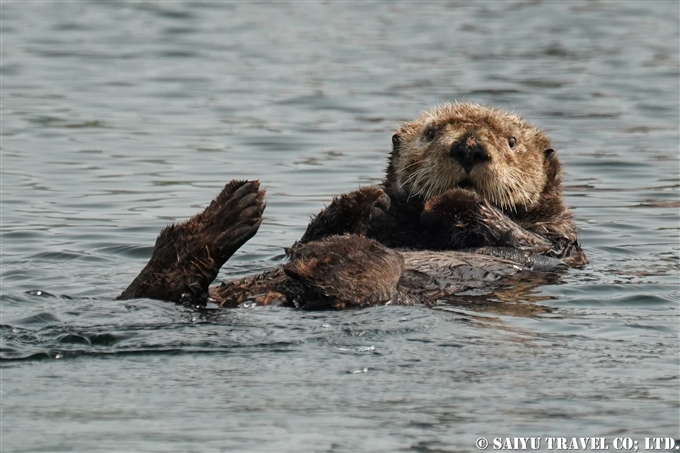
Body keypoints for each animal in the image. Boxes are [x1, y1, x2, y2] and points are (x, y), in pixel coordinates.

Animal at [117, 103, 584, 308]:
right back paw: (231, 212)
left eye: (511, 141)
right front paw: (365, 200)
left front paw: (451, 199)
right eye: (432, 133)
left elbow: (524, 239)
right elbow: (309, 233)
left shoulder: (557, 242)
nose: (469, 147)